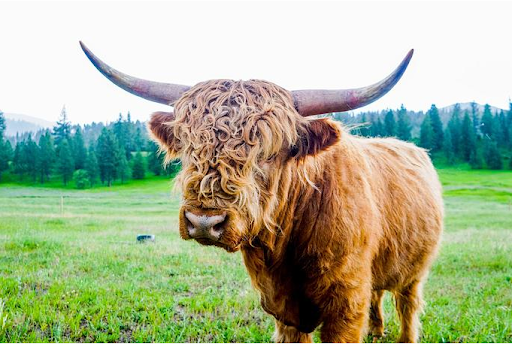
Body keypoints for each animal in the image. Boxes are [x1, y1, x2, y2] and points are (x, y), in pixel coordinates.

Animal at [81, 41, 444, 342]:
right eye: (189, 147)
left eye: (269, 152)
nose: (203, 221)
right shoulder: (284, 311)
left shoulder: (346, 303)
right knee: (379, 294)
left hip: (415, 271)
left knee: (408, 305)